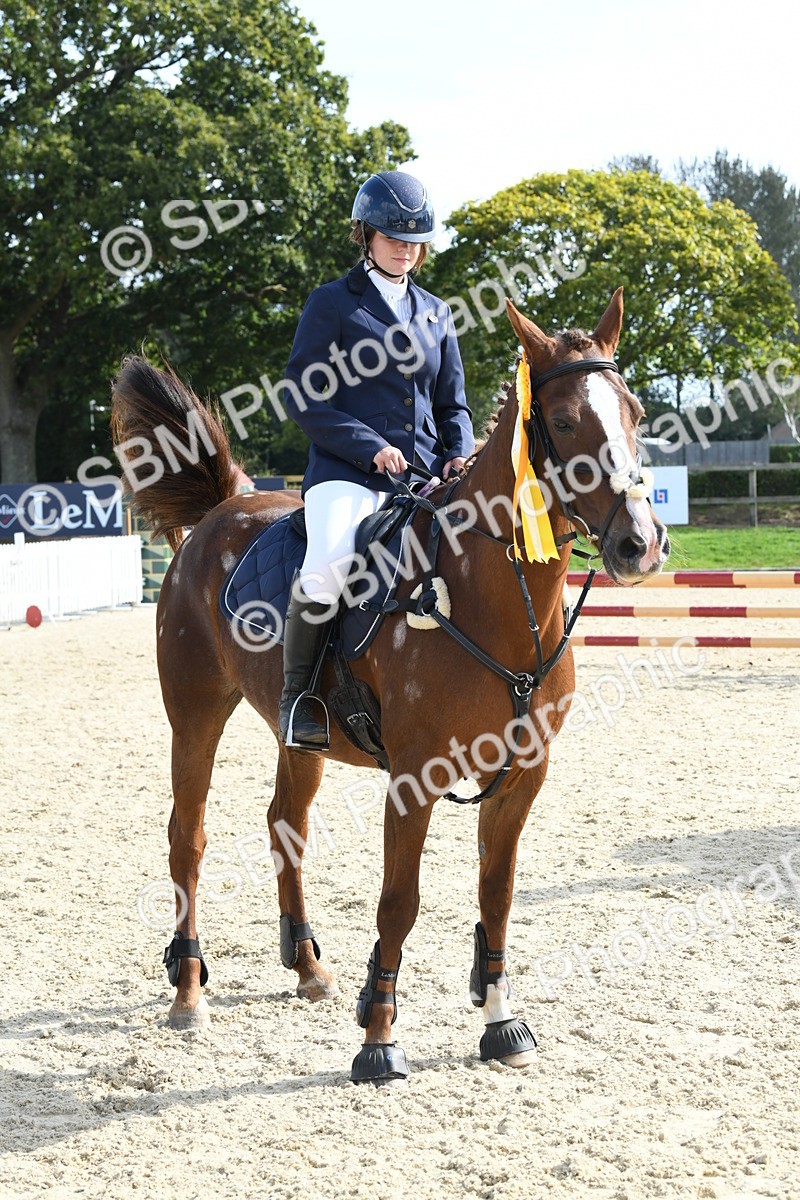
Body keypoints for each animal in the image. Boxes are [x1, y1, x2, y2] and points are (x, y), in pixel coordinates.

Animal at [111, 287, 669, 1083]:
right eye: (562, 421)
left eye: (636, 413)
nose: (639, 544)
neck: (489, 600)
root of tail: (225, 507)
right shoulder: (414, 777)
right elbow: (398, 903)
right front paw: (378, 1038)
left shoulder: (523, 774)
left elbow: (496, 896)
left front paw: (500, 1023)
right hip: (194, 718)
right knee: (186, 838)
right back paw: (189, 990)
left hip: (300, 735)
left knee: (286, 823)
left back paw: (308, 967)